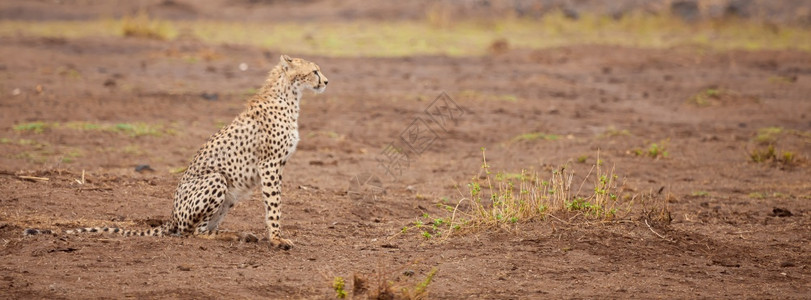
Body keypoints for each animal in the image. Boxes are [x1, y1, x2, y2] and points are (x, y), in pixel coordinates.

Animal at [27, 55, 328, 250]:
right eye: (314, 71)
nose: (326, 81)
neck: (289, 95)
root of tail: (171, 216)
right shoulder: (269, 165)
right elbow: (274, 206)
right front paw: (277, 239)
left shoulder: (274, 165)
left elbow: (274, 204)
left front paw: (273, 237)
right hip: (216, 178)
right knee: (192, 233)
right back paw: (232, 237)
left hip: (228, 196)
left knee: (200, 229)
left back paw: (239, 235)